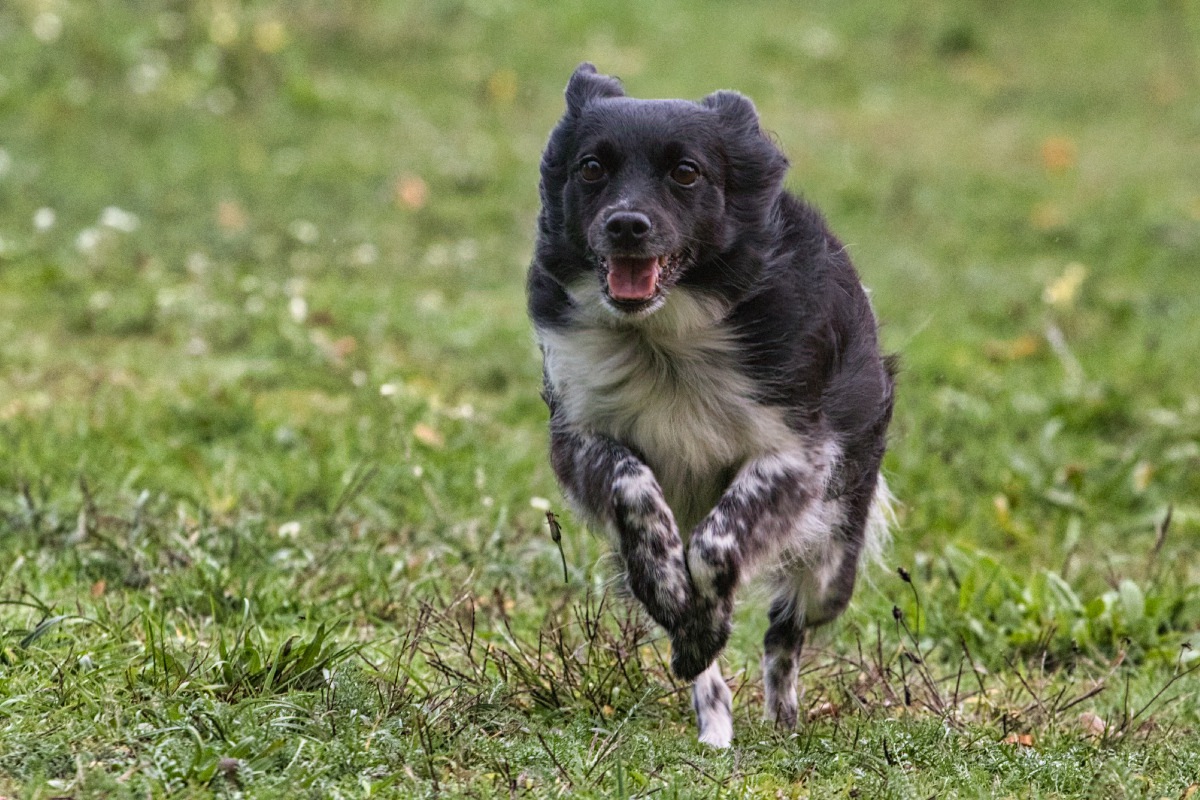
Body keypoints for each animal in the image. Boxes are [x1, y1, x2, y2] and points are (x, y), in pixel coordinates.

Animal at [527, 63, 895, 748]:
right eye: (591, 167)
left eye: (686, 172)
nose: (626, 225)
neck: (664, 337)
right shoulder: (581, 432)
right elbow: (634, 494)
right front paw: (676, 601)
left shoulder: (797, 454)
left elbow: (720, 543)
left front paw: (704, 609)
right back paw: (713, 714)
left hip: (832, 554)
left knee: (787, 629)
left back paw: (781, 719)